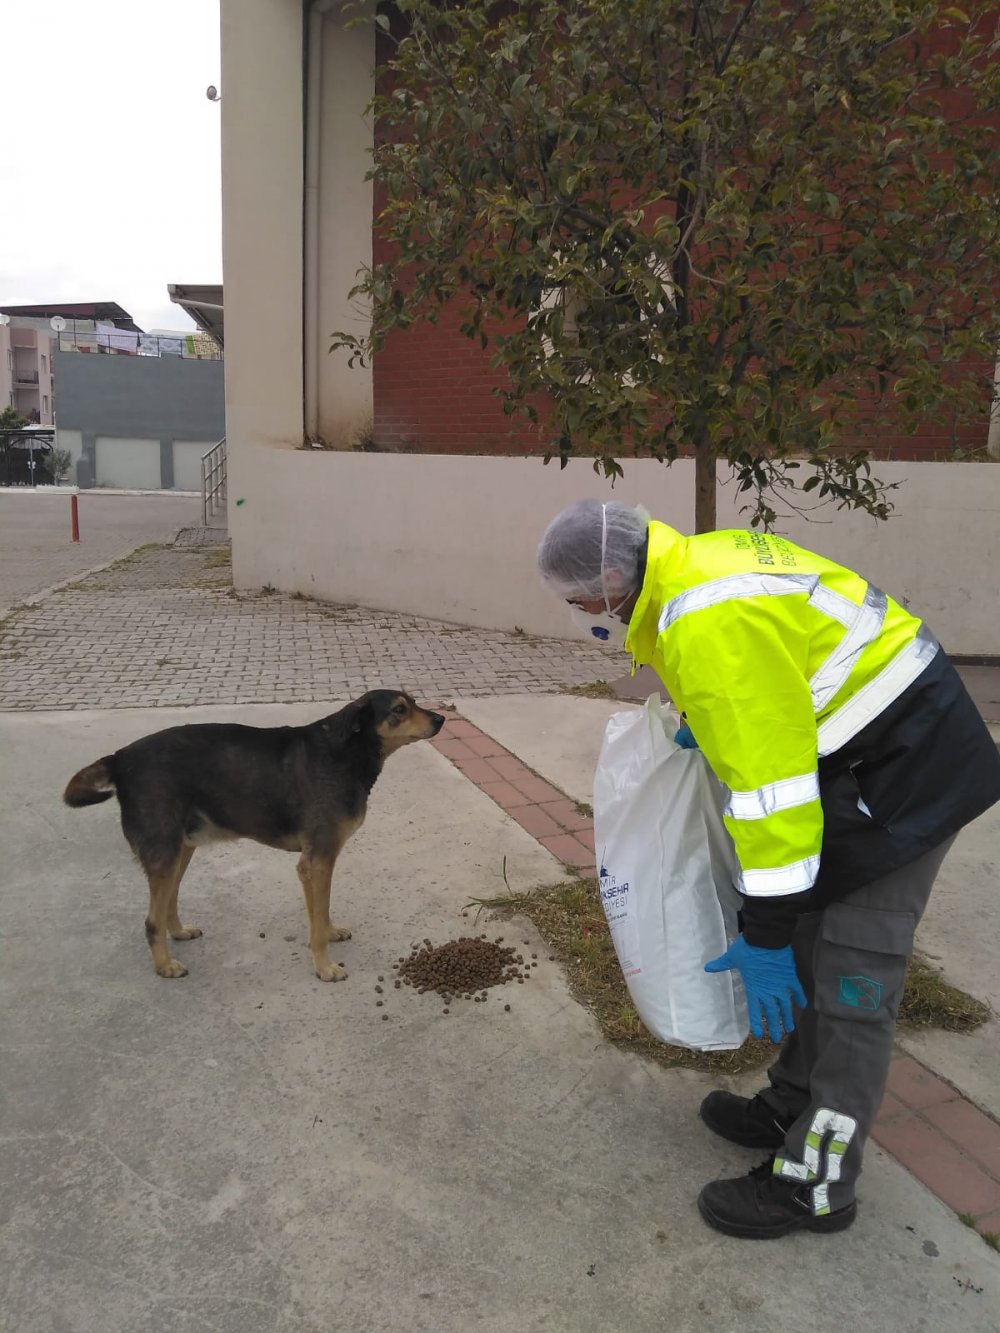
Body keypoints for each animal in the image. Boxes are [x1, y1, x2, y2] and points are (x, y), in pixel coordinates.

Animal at [63, 690, 445, 982]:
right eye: (399, 709)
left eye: (413, 702)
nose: (441, 719)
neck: (348, 752)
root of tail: (119, 759)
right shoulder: (316, 861)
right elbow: (316, 924)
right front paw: (324, 966)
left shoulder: (320, 863)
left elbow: (322, 912)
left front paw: (331, 930)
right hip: (165, 854)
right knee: (151, 921)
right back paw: (165, 966)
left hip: (181, 850)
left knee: (169, 901)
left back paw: (180, 932)